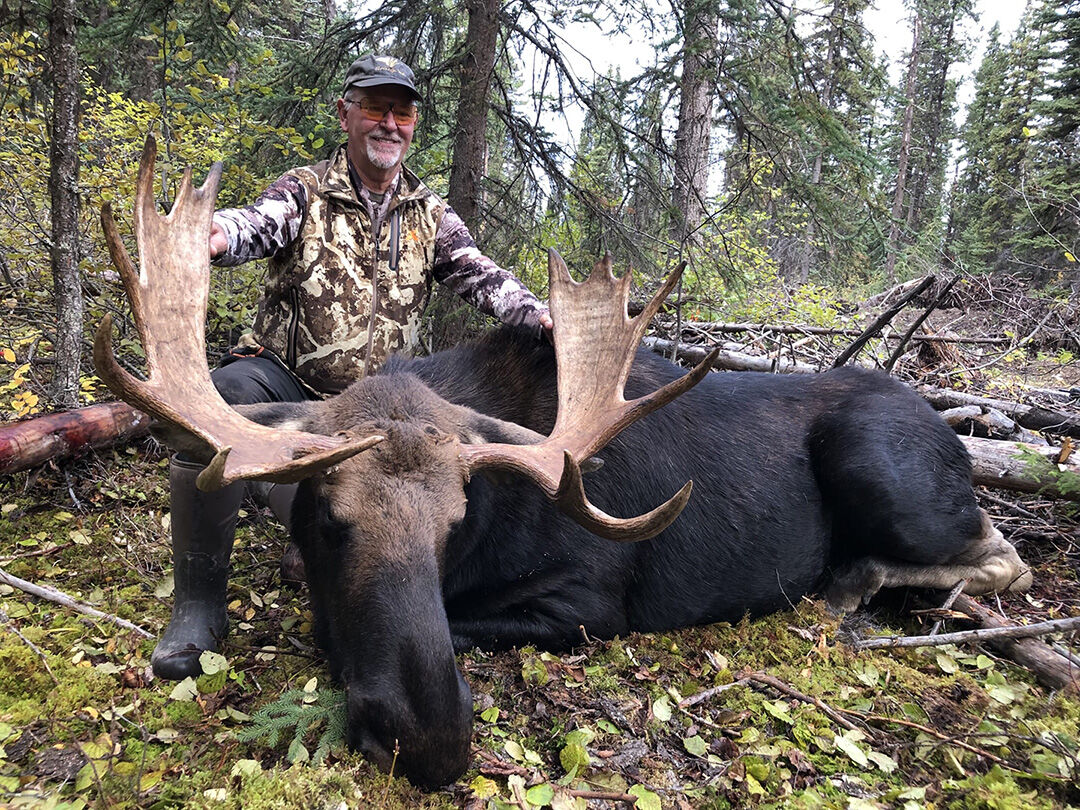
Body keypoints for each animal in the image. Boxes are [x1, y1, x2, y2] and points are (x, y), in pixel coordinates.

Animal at [94, 141, 1032, 788]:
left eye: (455, 521)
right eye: (327, 518)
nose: (429, 740)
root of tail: (950, 428)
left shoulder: (589, 603)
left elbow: (463, 620)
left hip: (883, 468)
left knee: (1005, 555)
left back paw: (850, 583)